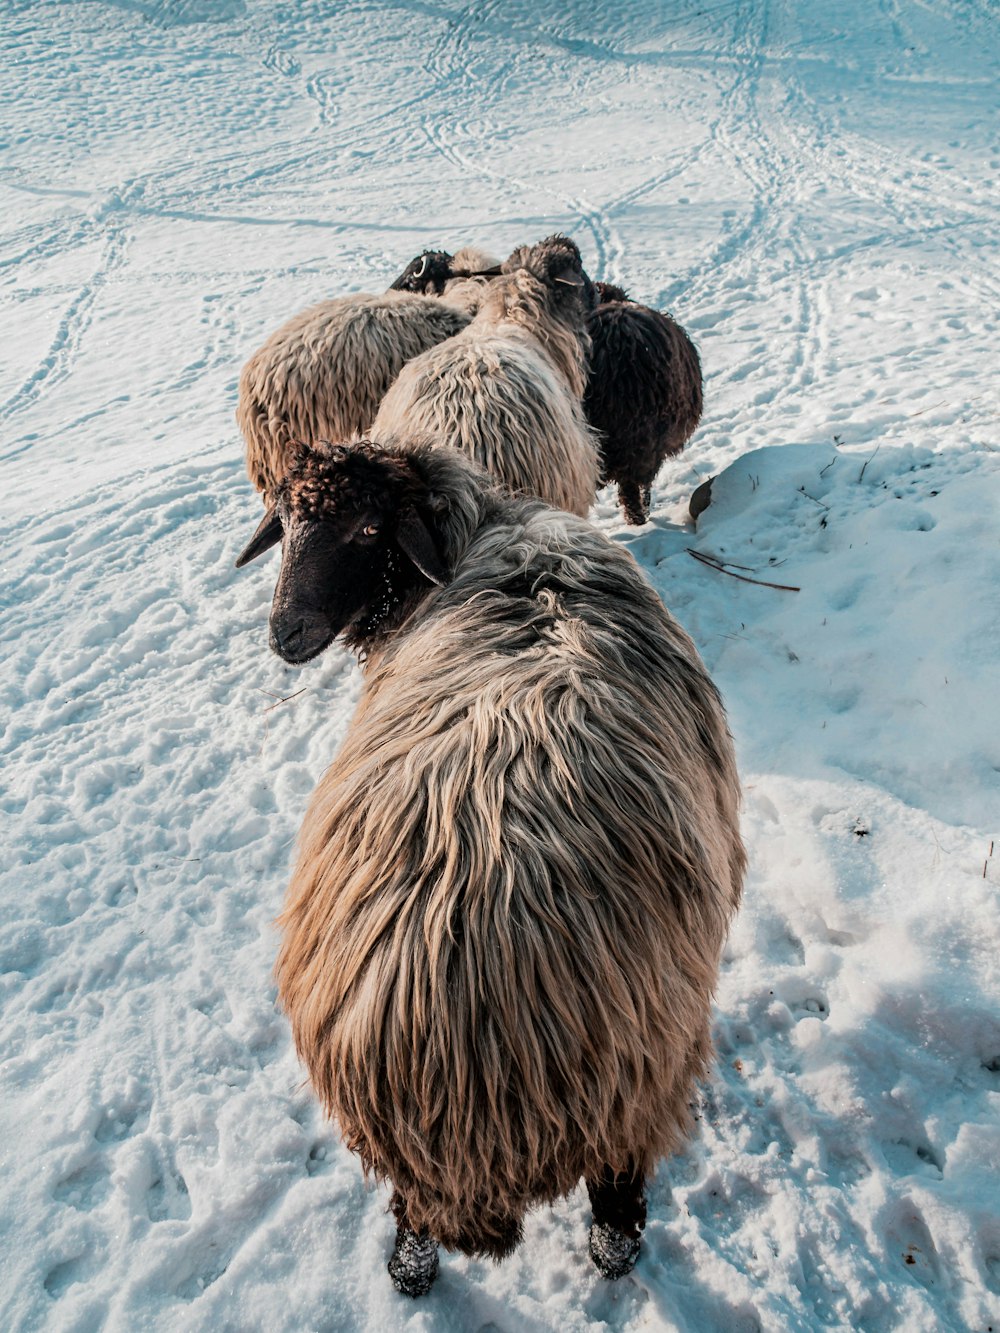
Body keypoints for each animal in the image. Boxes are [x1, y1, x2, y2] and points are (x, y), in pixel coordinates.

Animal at [234, 437, 746, 1290]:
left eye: (368, 528)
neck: (482, 528)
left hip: (630, 1071)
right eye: (287, 523)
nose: (285, 632)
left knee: (597, 1203)